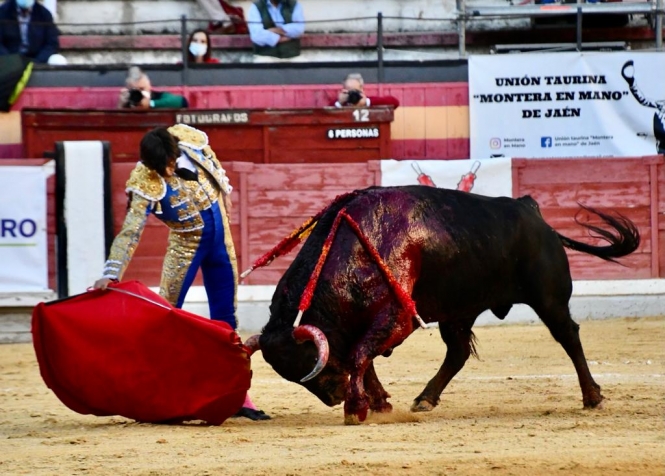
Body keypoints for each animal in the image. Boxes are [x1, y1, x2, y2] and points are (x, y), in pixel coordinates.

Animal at [245, 186, 640, 424]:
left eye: (308, 361)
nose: (333, 396)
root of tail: (530, 209)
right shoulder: (369, 326)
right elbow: (364, 359)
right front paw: (379, 403)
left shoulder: (397, 319)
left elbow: (359, 356)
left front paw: (357, 408)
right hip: (459, 311)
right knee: (458, 352)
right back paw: (424, 398)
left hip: (549, 297)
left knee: (568, 336)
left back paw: (593, 397)